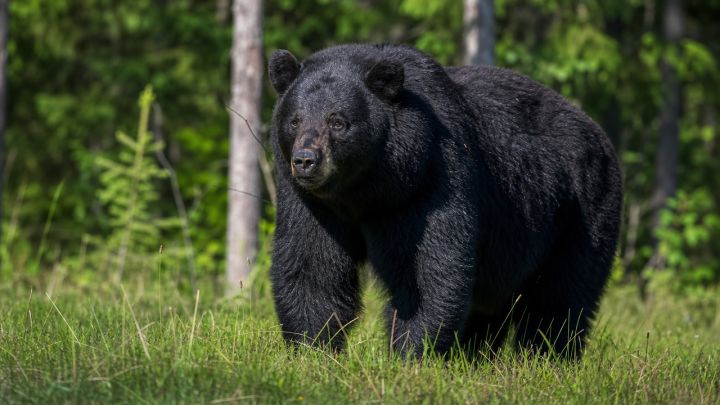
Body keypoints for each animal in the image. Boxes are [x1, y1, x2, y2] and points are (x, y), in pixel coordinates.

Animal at [267, 44, 622, 359]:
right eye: (295, 120)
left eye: (338, 121)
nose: (305, 160)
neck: (367, 188)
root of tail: (598, 132)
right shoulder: (314, 203)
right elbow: (312, 266)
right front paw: (312, 350)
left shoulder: (430, 179)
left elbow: (426, 273)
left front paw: (410, 354)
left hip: (580, 212)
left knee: (559, 298)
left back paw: (544, 358)